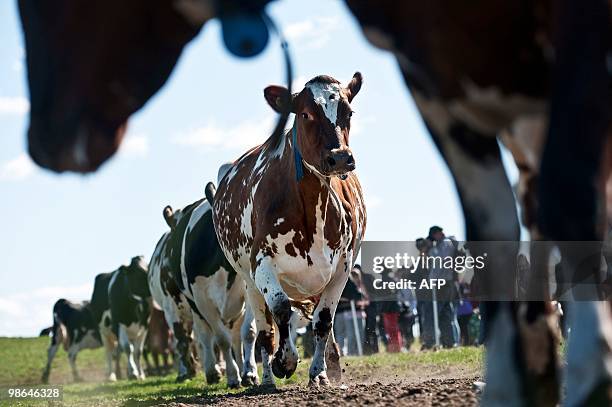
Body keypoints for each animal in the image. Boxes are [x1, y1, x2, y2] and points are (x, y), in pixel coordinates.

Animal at [212, 73, 364, 388]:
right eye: (305, 114)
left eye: (349, 112)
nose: (340, 158)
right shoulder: (261, 264)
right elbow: (281, 310)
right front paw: (284, 361)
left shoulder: (342, 269)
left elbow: (323, 321)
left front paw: (319, 373)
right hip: (249, 283)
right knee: (263, 330)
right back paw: (266, 378)